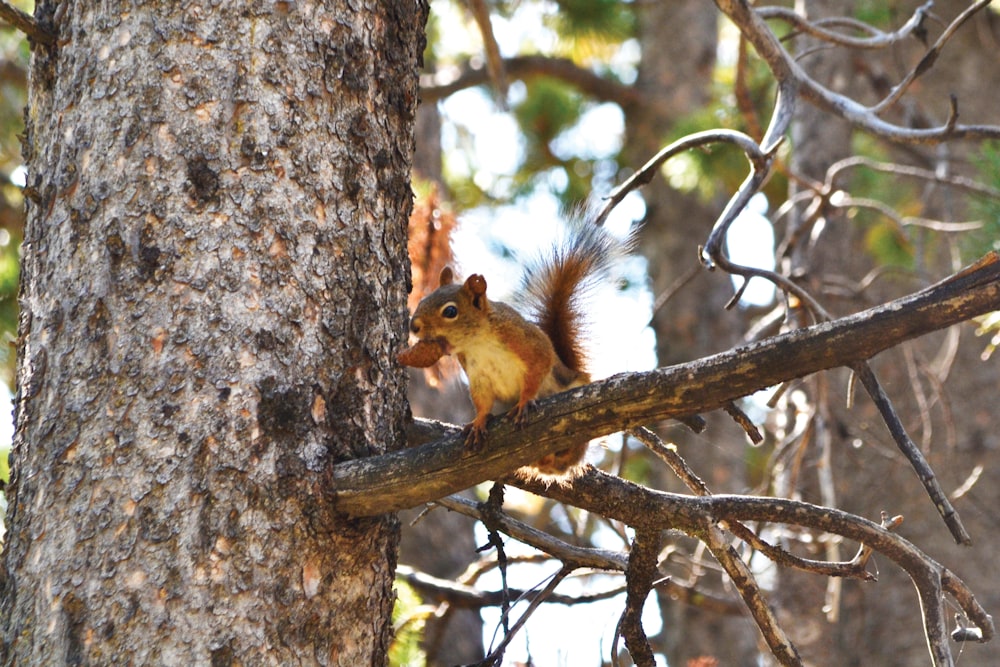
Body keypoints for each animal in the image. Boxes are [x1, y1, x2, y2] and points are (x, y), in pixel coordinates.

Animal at [394, 222, 620, 478]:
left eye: (450, 311)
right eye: (424, 300)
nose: (414, 326)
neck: (478, 342)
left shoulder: (525, 340)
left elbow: (539, 365)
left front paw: (524, 402)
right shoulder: (477, 373)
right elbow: (482, 400)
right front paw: (479, 421)